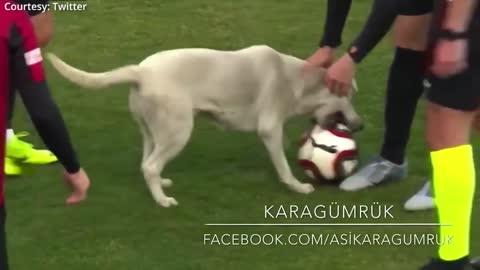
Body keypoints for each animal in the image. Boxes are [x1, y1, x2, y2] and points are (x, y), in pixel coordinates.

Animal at [47, 45, 362, 208]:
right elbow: (284, 166)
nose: (360, 125)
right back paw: (163, 201)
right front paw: (298, 187)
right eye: (349, 96)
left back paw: (159, 186)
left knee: (146, 164)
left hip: (153, 132)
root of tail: (141, 71)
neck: (295, 79)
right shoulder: (270, 130)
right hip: (178, 132)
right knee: (150, 165)